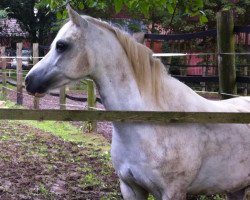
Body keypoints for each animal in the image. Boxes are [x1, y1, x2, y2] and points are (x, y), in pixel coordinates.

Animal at [25, 6, 250, 200]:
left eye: (61, 45)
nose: (29, 80)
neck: (151, 121)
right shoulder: (130, 188)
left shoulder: (172, 192)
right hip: (236, 189)